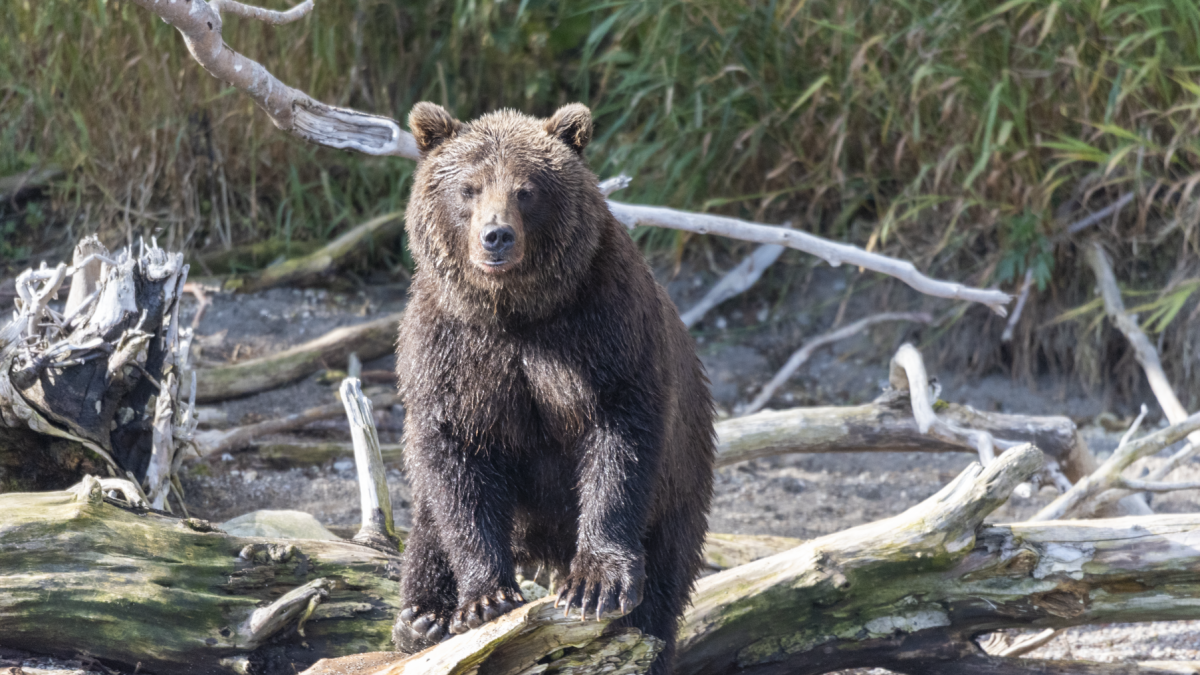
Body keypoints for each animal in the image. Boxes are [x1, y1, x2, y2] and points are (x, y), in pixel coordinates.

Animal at [393, 98, 710, 667]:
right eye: (469, 188)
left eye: (526, 189)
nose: (497, 236)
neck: (516, 312)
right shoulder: (450, 349)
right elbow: (456, 467)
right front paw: (484, 599)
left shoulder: (603, 327)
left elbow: (618, 441)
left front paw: (596, 584)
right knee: (428, 521)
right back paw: (420, 619)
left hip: (683, 483)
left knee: (666, 581)